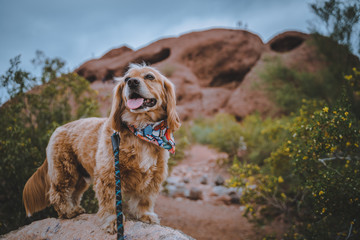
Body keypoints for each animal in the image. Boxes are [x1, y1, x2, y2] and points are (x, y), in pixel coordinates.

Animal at [22, 63, 180, 232]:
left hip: (80, 177)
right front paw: (113, 221)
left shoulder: (153, 177)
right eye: (126, 79)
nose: (132, 82)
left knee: (74, 193)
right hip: (65, 171)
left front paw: (145, 215)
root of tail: (58, 129)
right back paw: (68, 211)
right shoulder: (109, 175)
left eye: (150, 76)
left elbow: (144, 199)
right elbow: (111, 202)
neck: (142, 129)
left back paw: (75, 209)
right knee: (58, 193)